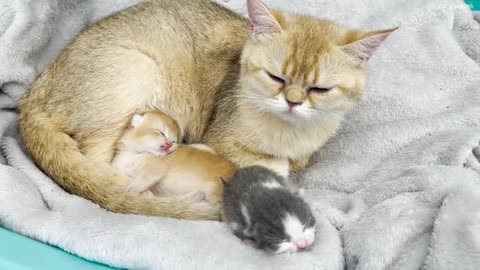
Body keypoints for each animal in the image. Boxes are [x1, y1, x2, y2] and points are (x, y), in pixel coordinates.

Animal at [17, 0, 394, 220]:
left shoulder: (306, 153)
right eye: (276, 77)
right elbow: (270, 164)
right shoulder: (222, 140)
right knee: (100, 165)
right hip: (136, 73)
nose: (293, 100)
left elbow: (295, 163)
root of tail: (35, 91)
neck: (287, 134)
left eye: (320, 89)